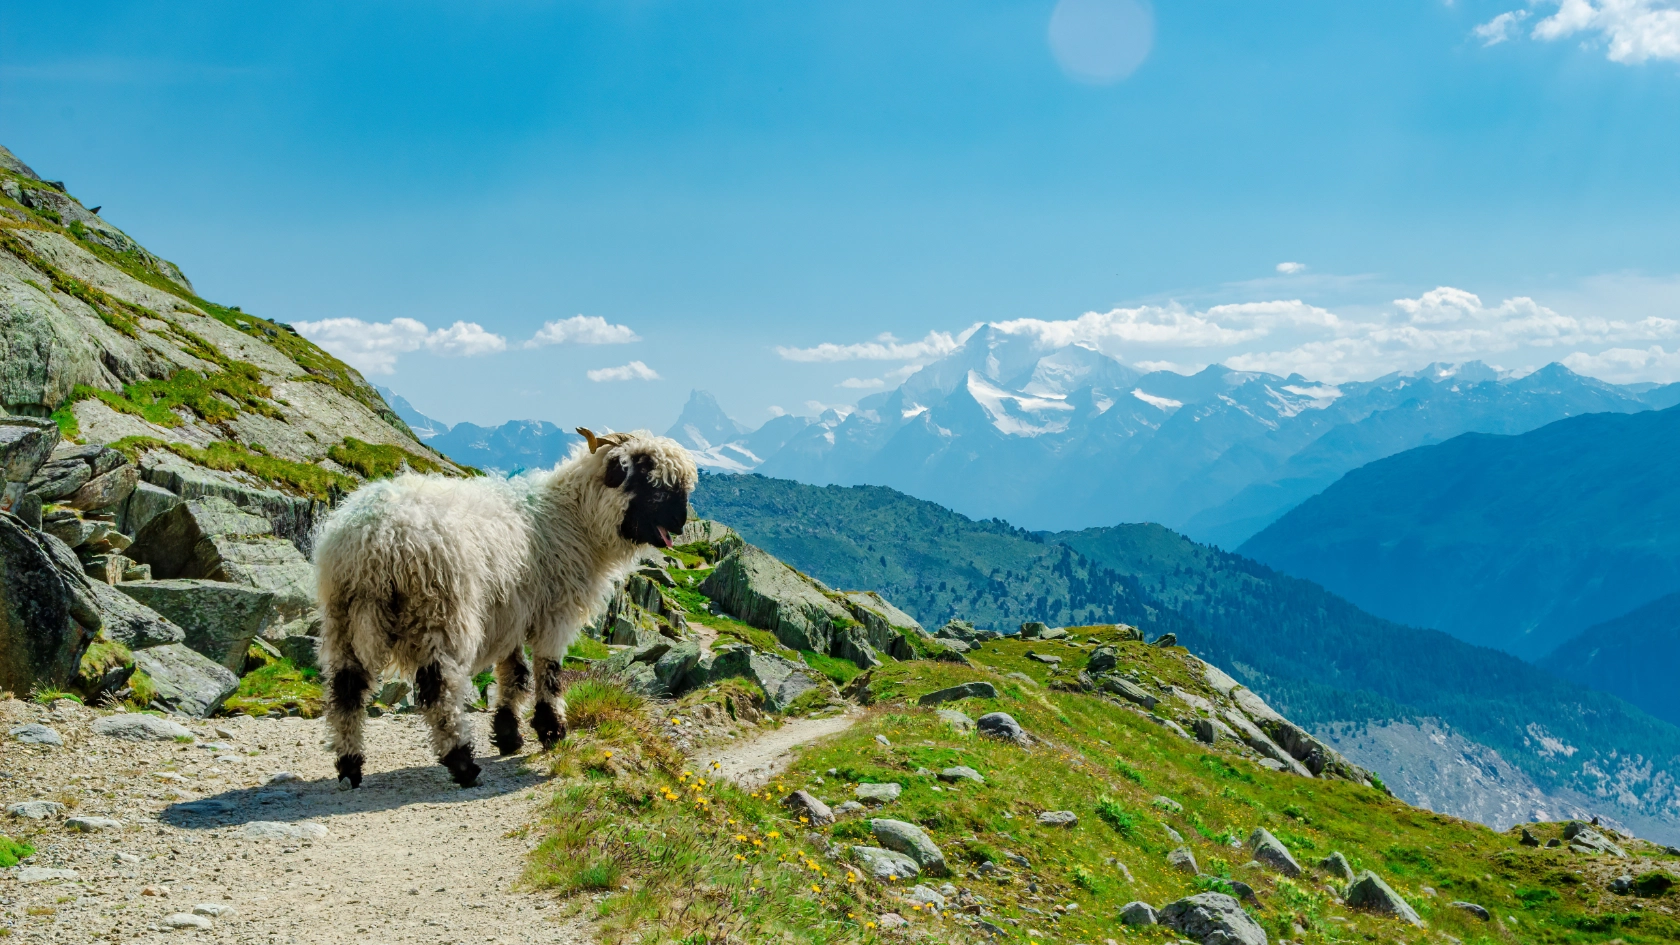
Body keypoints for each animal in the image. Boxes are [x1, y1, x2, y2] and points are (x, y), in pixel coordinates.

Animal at [312, 427, 696, 788]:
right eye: (650, 480)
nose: (680, 524)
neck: (573, 517)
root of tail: (375, 541)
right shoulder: (553, 613)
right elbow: (549, 673)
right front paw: (552, 731)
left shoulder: (512, 612)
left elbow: (515, 674)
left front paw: (509, 734)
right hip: (441, 611)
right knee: (439, 690)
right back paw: (462, 763)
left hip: (344, 618)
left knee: (346, 690)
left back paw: (350, 767)